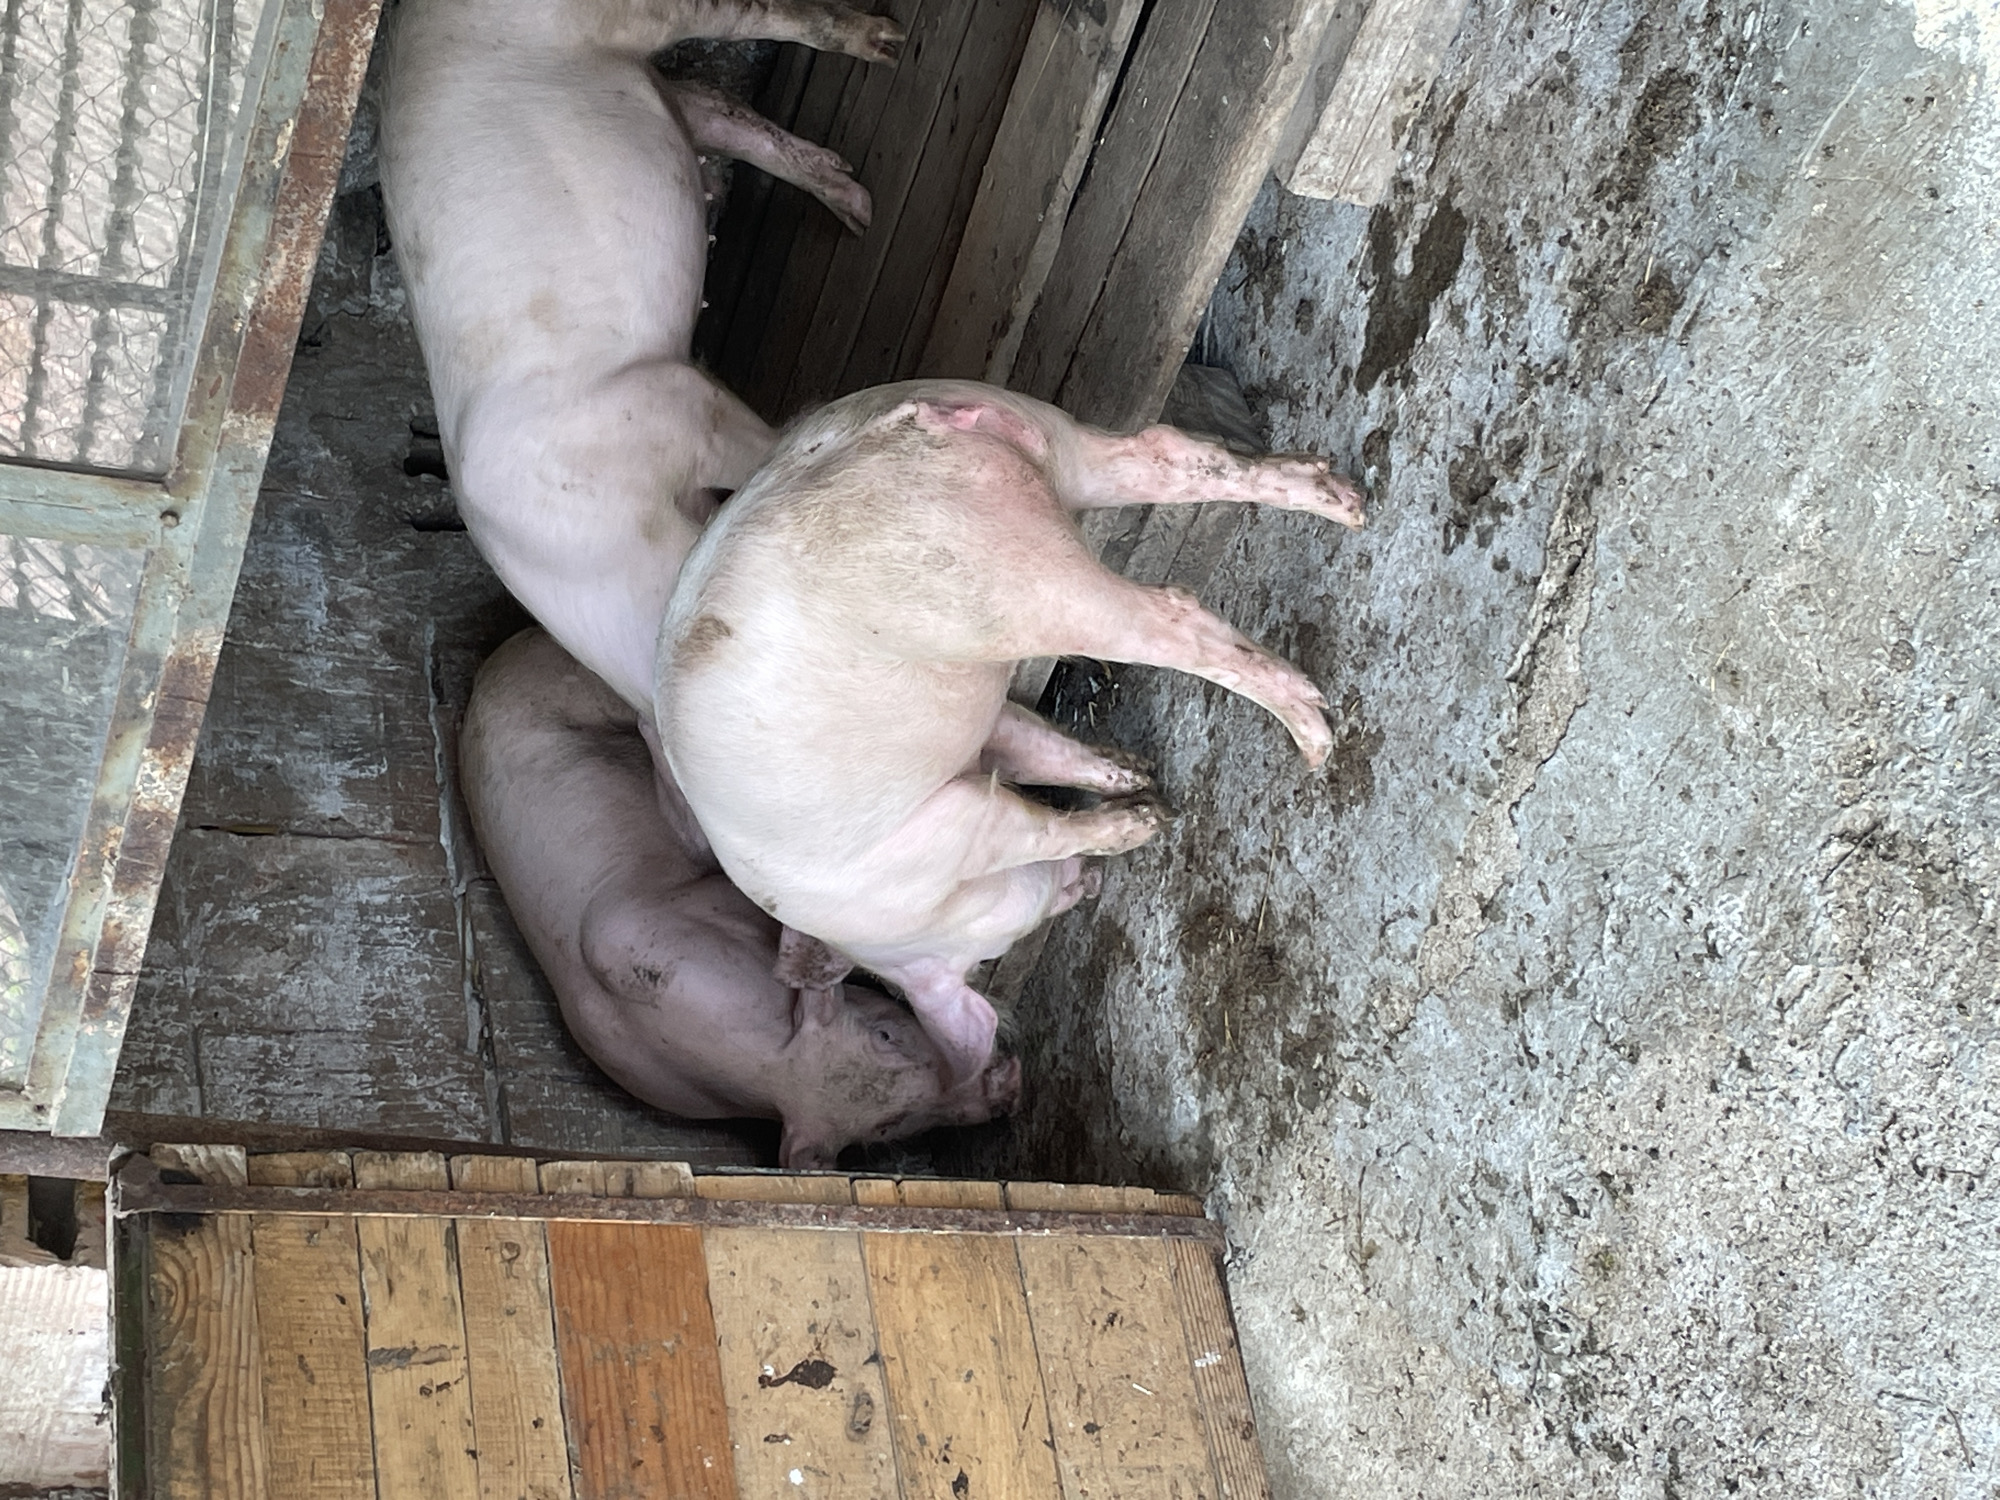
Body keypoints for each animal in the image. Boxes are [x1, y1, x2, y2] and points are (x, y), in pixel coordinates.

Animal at [459, 626, 1021, 1168]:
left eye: (897, 1125)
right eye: (885, 1037)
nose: (1007, 1085)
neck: (771, 1064)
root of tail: (498, 659)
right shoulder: (687, 908)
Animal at [654, 381, 1368, 1081]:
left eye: (991, 950)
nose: (1084, 886)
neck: (913, 922)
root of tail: (881, 430)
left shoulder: (948, 834)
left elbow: (1035, 824)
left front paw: (1147, 820)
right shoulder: (983, 733)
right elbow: (1039, 749)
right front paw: (1137, 780)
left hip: (1002, 583)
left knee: (1171, 614)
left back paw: (1315, 737)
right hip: (1042, 443)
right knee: (1162, 452)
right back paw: (1346, 502)